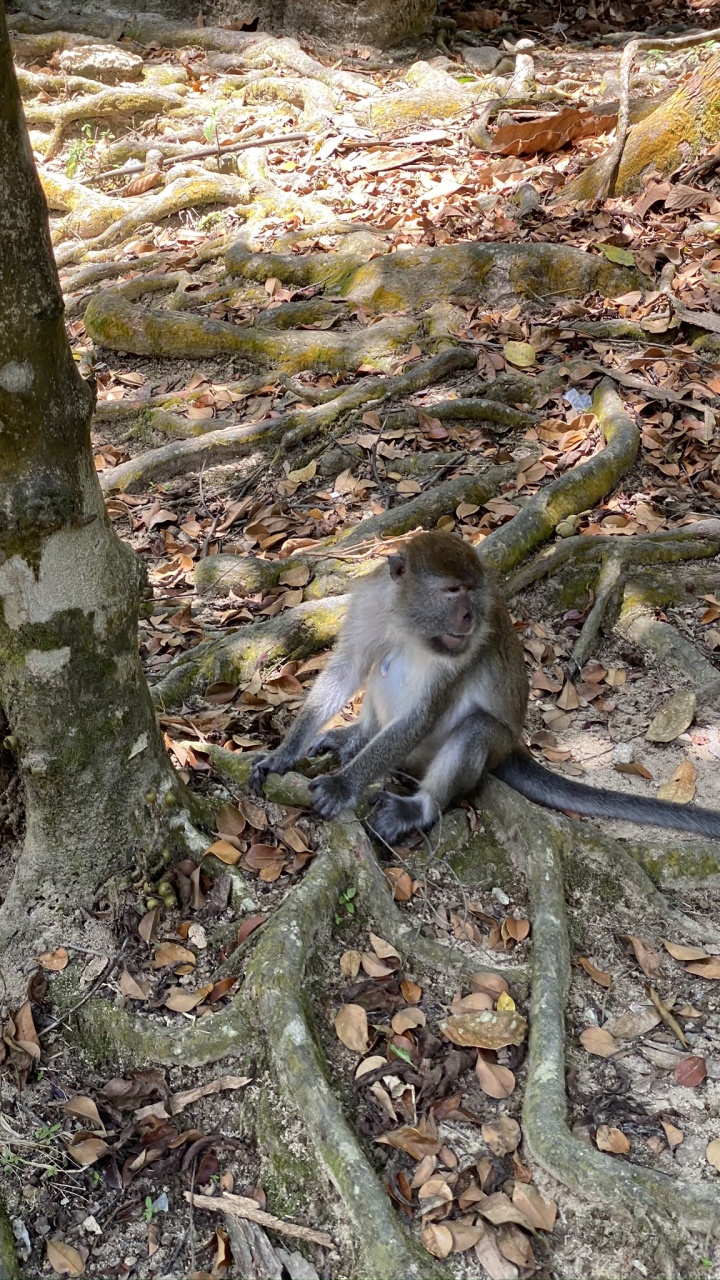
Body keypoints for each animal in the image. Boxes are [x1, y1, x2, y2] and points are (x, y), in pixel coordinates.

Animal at [250, 531, 720, 845]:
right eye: (450, 590)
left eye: (471, 592)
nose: (467, 617)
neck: (409, 624)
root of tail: (516, 747)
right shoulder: (371, 607)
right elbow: (346, 669)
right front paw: (282, 756)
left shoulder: (466, 647)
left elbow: (422, 714)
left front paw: (343, 786)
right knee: (379, 668)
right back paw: (356, 737)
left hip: (475, 748)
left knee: (475, 729)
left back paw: (417, 807)